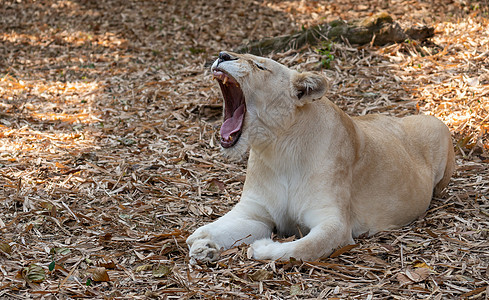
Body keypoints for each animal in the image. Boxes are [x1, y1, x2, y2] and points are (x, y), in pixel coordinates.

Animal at [186, 51, 454, 262]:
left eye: (260, 66)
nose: (222, 55)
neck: (278, 150)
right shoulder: (255, 213)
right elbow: (216, 227)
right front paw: (203, 243)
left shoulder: (334, 223)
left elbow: (300, 249)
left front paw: (261, 248)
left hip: (439, 132)